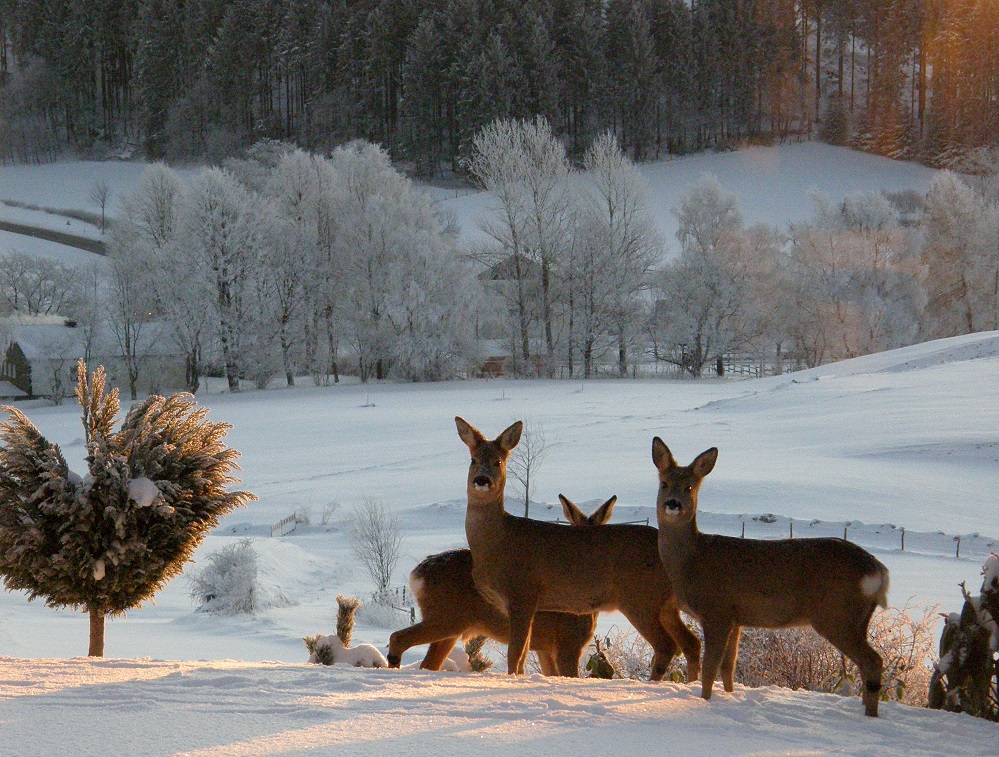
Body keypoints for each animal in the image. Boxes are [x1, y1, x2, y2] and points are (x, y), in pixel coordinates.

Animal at [384, 496, 612, 672]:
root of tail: (417, 575)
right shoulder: (568, 642)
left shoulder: (544, 648)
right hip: (447, 616)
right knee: (398, 638)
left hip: (450, 624)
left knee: (428, 663)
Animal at [458, 416, 700, 676]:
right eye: (473, 460)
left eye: (498, 461)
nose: (482, 480)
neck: (497, 543)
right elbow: (522, 655)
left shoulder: (523, 591)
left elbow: (515, 654)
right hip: (665, 603)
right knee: (691, 642)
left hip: (641, 597)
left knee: (667, 644)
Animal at [652, 438, 896, 716]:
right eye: (664, 483)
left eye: (689, 486)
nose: (673, 503)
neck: (691, 561)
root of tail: (878, 570)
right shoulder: (736, 618)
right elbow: (728, 667)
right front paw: (729, 697)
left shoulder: (717, 610)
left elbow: (710, 668)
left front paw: (705, 702)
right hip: (855, 617)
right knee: (868, 664)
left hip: (838, 615)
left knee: (873, 661)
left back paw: (870, 715)